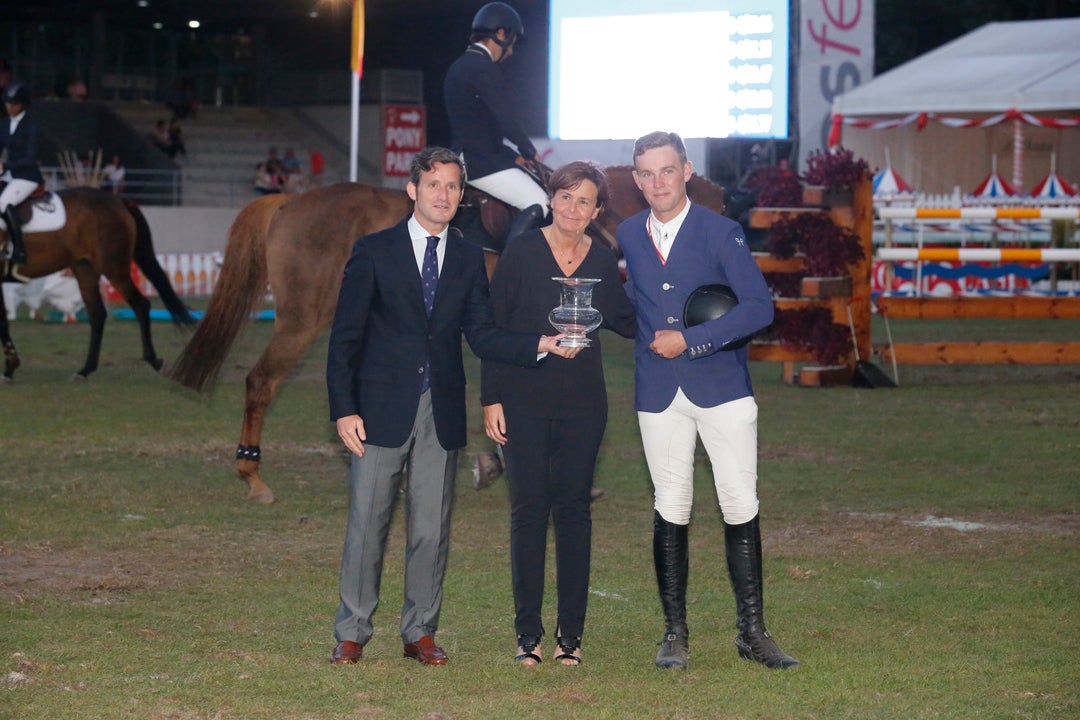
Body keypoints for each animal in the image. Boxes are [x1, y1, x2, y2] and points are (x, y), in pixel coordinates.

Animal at [1, 189, 194, 382]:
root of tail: (119, 201)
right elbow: (4, 321)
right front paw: (10, 367)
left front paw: (10, 367)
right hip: (85, 269)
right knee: (97, 314)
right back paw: (85, 370)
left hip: (114, 269)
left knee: (140, 305)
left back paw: (153, 360)